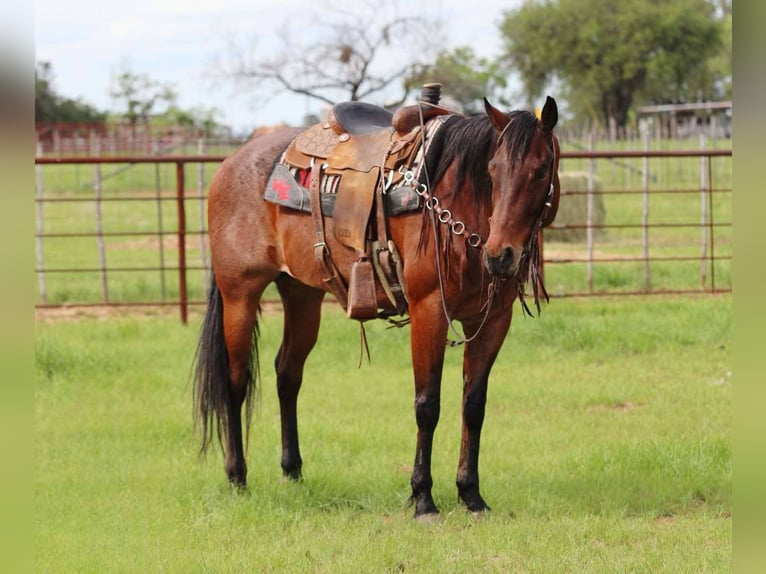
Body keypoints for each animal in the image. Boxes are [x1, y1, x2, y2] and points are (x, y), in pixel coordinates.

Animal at [193, 95, 561, 519]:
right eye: (493, 169)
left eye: (541, 170)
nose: (500, 256)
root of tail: (232, 162)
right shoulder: (429, 311)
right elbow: (427, 405)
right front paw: (423, 498)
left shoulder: (492, 321)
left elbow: (474, 406)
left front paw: (471, 494)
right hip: (239, 294)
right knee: (235, 382)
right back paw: (237, 476)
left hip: (302, 296)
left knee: (287, 374)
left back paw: (292, 471)